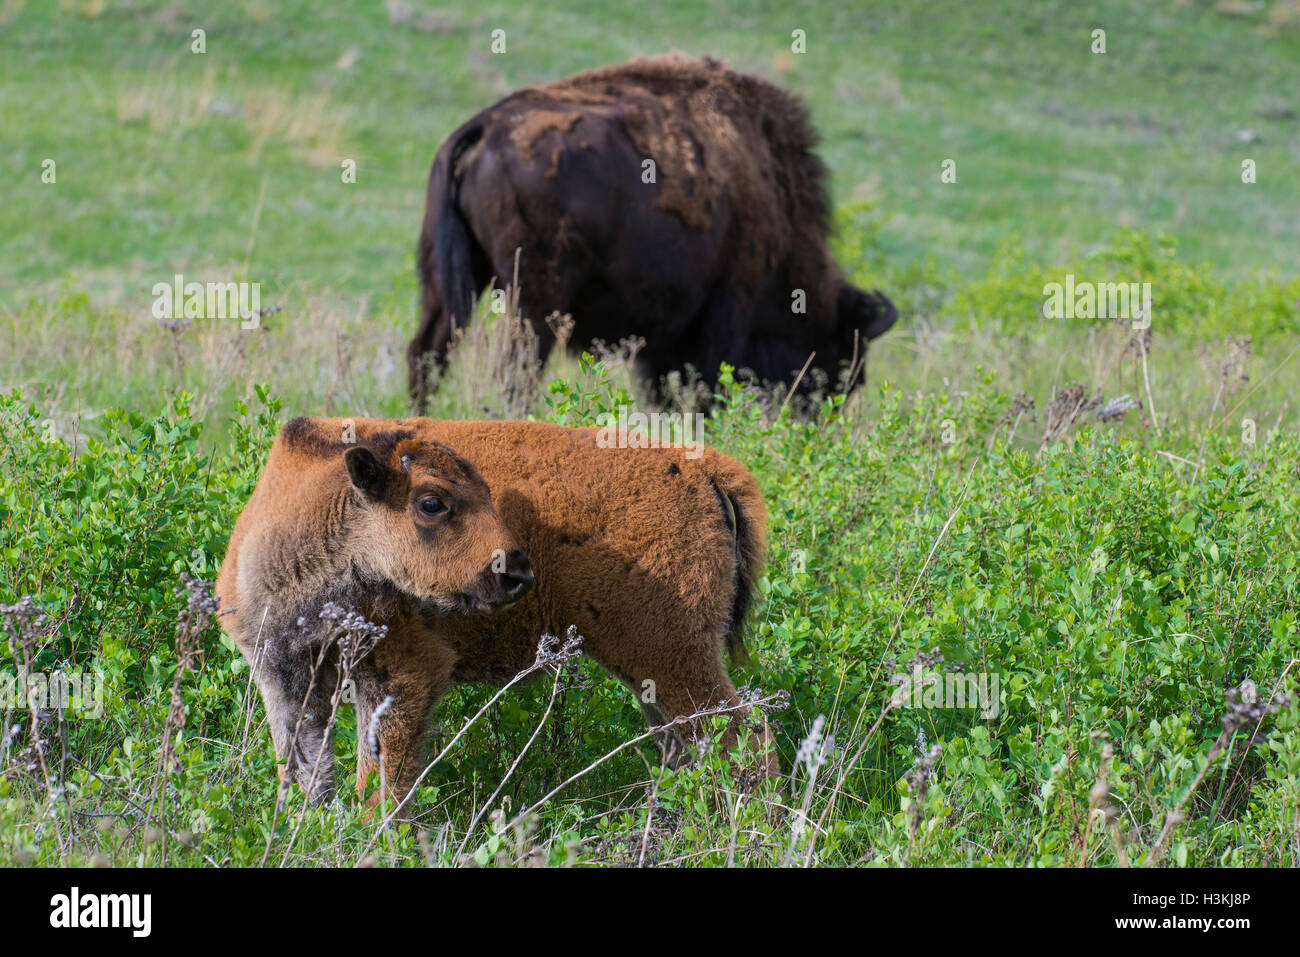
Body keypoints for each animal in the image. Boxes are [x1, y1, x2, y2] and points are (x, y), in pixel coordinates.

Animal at [218, 416, 774, 806]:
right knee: (688, 747)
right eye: (432, 503)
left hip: (670, 654)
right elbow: (306, 774)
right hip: (655, 674)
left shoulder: (400, 677)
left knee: (742, 733)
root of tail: (699, 465)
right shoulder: (284, 680)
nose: (518, 573)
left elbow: (379, 785)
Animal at [410, 53, 899, 410]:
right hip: (534, 297)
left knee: (427, 354)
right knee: (515, 373)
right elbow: (707, 389)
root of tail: (485, 127)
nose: (813, 422)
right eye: (839, 369)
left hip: (448, 281)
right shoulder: (727, 308)